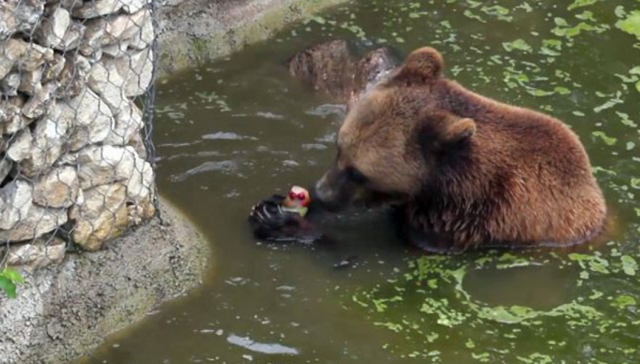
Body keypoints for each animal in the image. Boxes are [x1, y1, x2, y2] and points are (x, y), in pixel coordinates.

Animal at [249, 45, 604, 253]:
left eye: (359, 173)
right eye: (339, 148)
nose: (322, 193)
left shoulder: (467, 218)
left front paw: (283, 223)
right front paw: (273, 204)